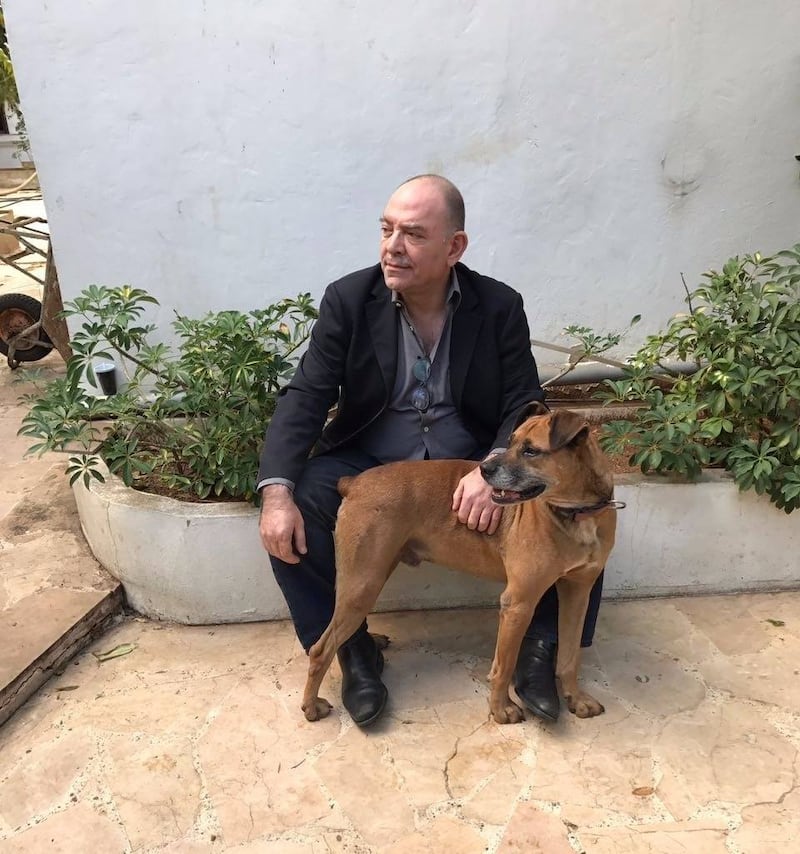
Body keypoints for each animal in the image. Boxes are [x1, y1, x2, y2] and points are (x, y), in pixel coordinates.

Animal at [300, 404, 620, 724]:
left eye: (531, 451)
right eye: (511, 441)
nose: (484, 470)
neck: (578, 513)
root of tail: (354, 482)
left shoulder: (577, 594)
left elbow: (570, 656)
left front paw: (576, 698)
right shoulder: (518, 603)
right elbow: (504, 666)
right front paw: (501, 709)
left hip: (372, 573)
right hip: (363, 582)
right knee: (320, 649)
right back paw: (312, 705)